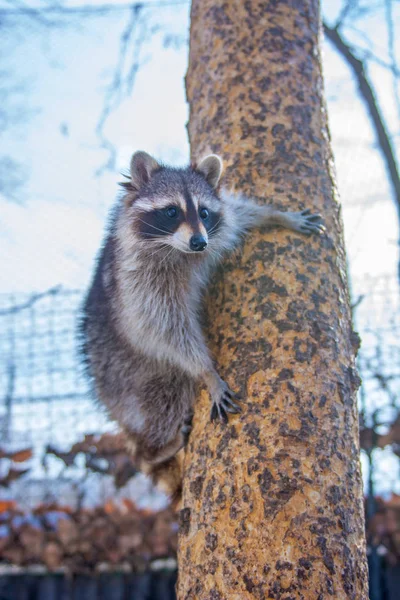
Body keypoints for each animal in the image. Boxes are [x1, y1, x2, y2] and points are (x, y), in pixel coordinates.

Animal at [80, 152, 324, 500]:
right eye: (171, 211)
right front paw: (207, 371)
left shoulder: (215, 230)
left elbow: (239, 214)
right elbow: (163, 329)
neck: (177, 250)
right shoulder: (138, 284)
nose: (199, 242)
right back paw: (152, 450)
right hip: (129, 375)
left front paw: (276, 216)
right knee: (164, 398)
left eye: (204, 213)